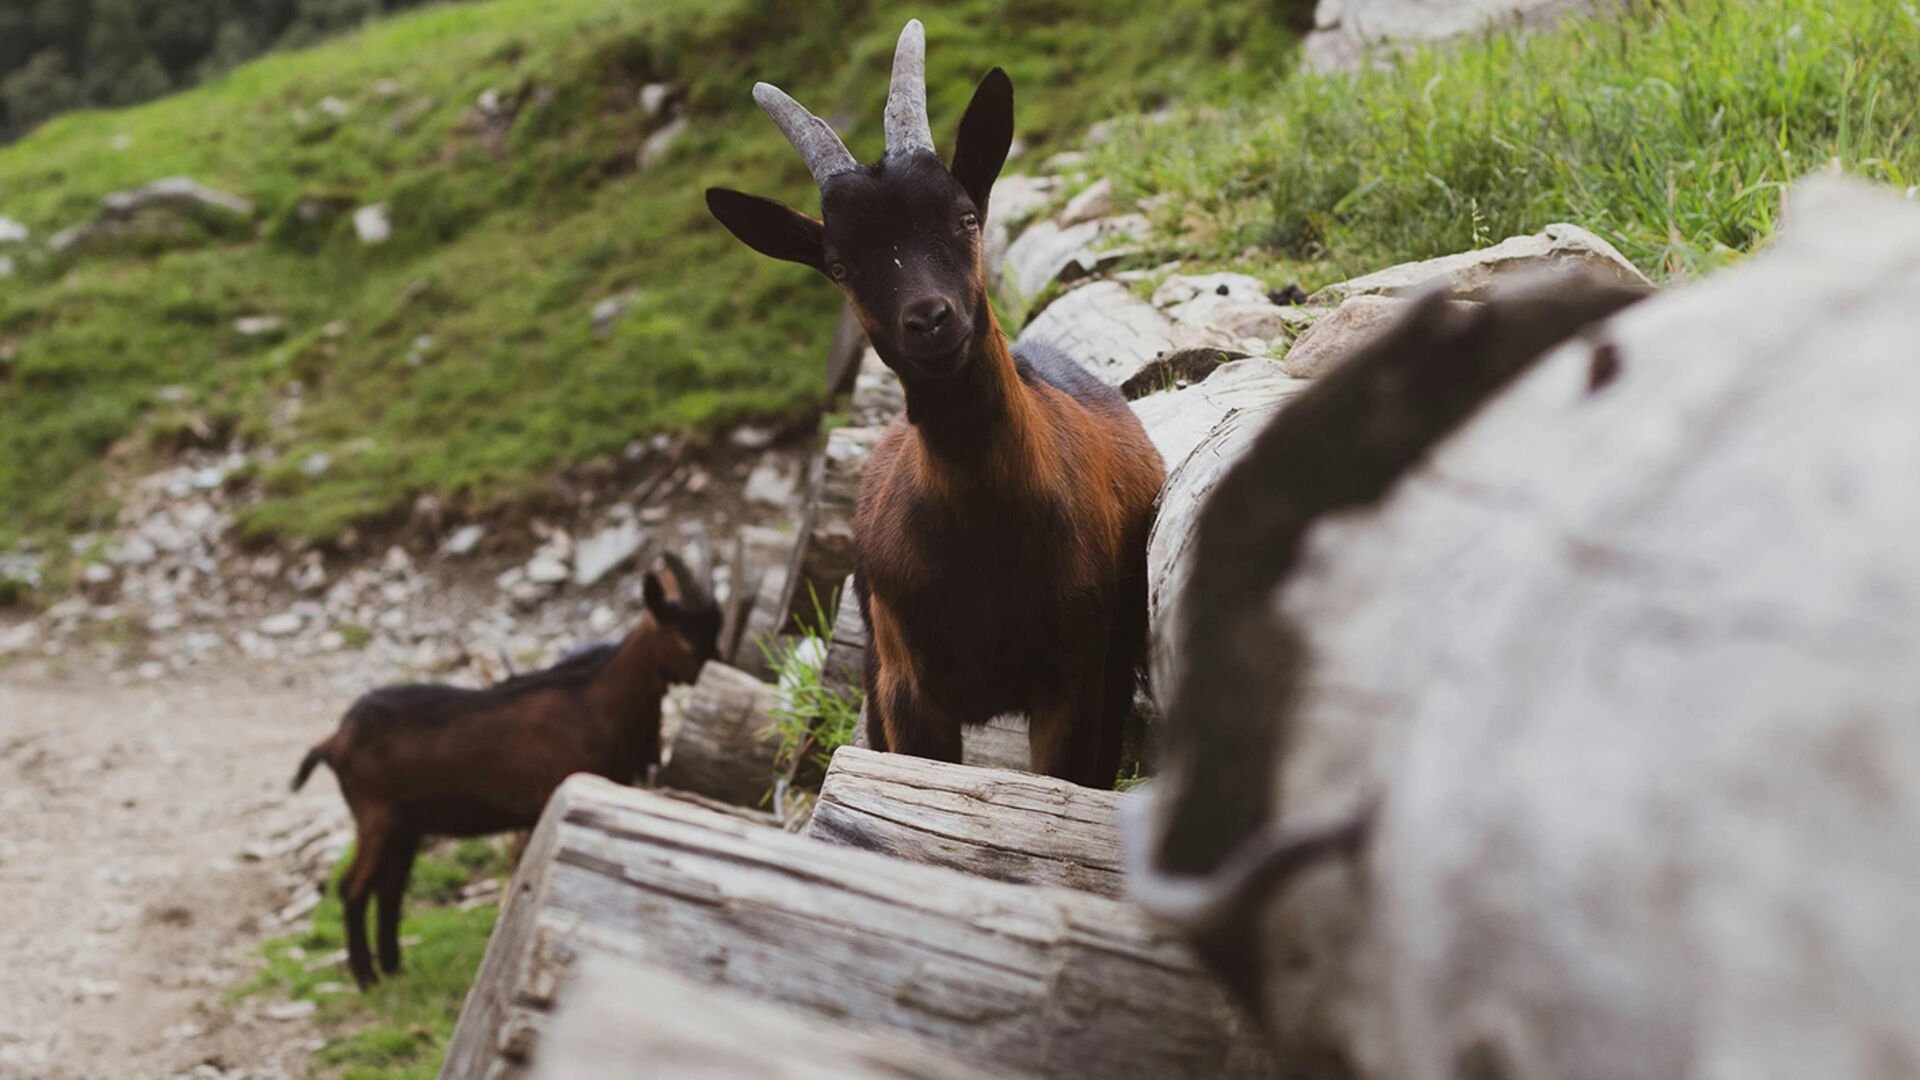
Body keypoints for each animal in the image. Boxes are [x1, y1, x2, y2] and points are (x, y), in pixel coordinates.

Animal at [291, 553, 721, 983]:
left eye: (715, 630)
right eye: (686, 640)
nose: (719, 672)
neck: (596, 706)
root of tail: (334, 740)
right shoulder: (546, 801)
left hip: (404, 824)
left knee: (390, 886)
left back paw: (393, 967)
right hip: (374, 813)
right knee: (353, 887)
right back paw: (366, 976)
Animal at [706, 21, 1152, 787]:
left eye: (966, 217)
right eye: (840, 266)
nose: (930, 321)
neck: (988, 524)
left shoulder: (1073, 677)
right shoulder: (908, 688)